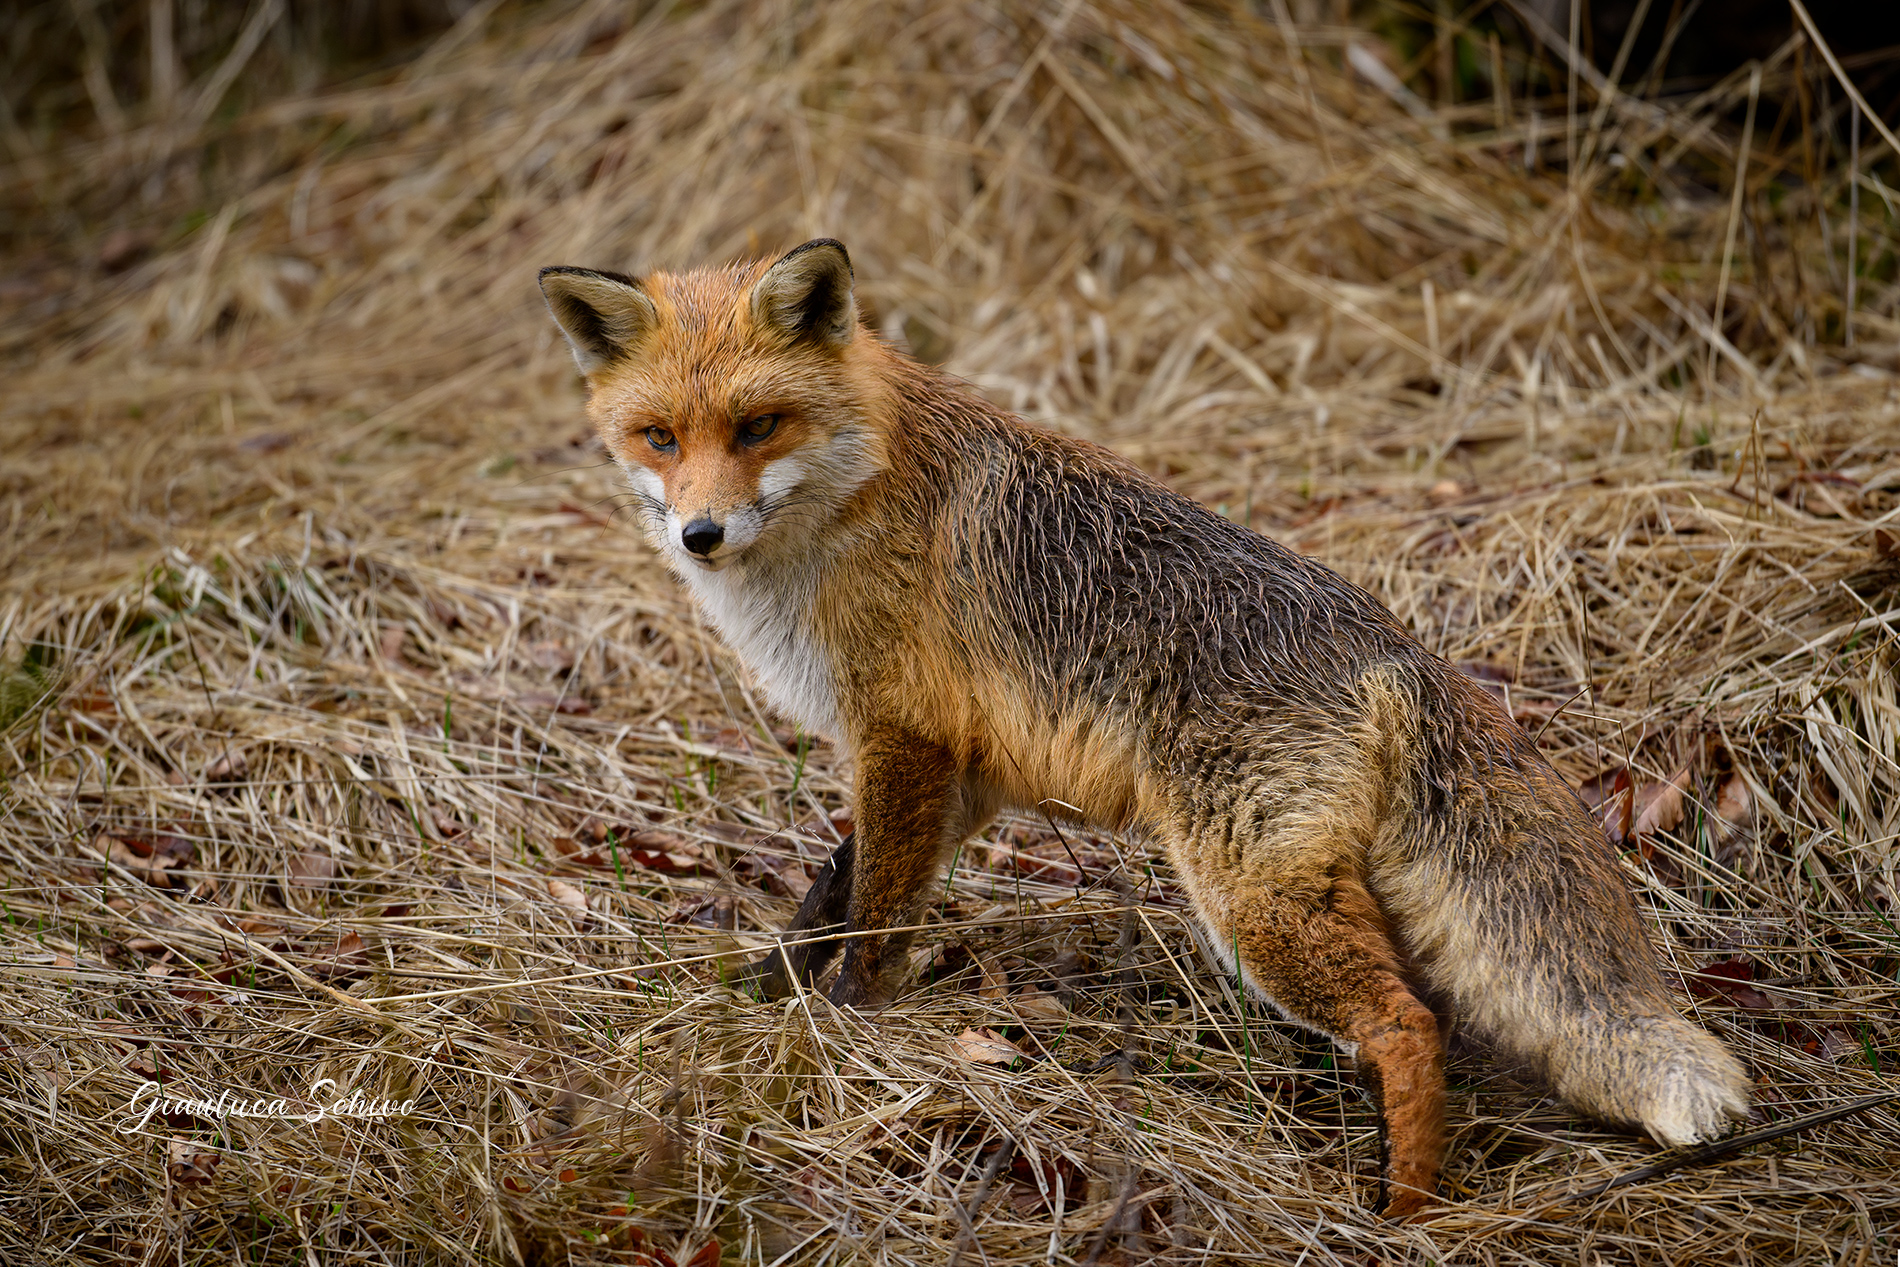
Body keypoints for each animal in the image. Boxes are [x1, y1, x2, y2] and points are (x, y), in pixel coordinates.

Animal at [537, 239, 1749, 1218]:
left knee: (1409, 1024)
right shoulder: (965, 767)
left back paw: (1401, 1207)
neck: (854, 494)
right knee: (1426, 1011)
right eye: (658, 436)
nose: (698, 534)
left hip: (1249, 902)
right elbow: (833, 887)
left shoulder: (903, 736)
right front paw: (769, 990)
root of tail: (1391, 643)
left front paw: (837, 1031)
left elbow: (875, 911)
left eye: (757, 426)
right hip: (1305, 886)